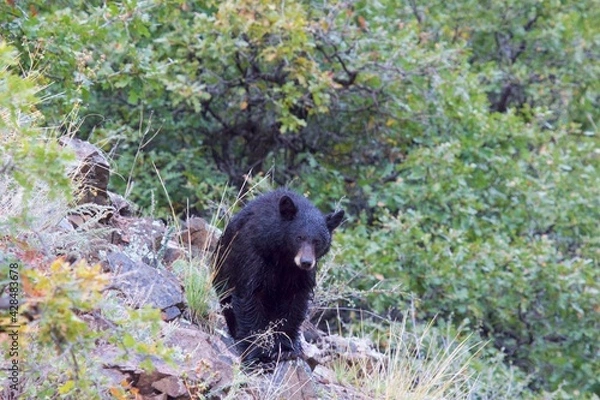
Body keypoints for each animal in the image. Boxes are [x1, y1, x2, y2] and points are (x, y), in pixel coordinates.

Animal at [214, 189, 346, 368]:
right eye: (299, 237)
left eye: (317, 241)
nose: (306, 262)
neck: (283, 256)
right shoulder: (253, 255)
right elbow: (250, 296)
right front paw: (258, 355)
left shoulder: (300, 275)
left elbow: (295, 304)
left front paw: (286, 349)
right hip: (223, 269)